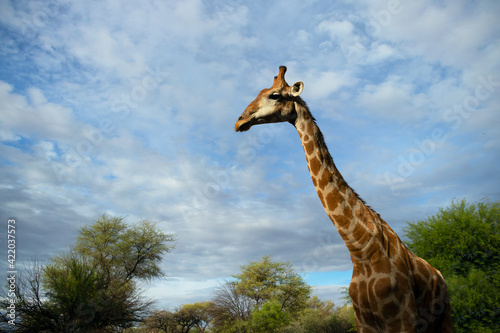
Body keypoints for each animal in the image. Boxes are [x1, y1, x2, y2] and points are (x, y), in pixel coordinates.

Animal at [233, 66, 454, 330]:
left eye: (275, 95)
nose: (239, 121)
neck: (361, 250)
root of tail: (439, 274)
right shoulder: (364, 322)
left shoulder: (402, 319)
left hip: (445, 317)